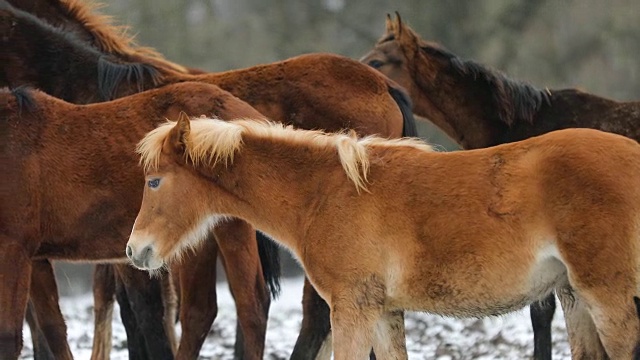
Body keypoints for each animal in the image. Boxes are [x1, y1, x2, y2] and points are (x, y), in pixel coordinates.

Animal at [129, 115, 640, 360]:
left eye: (154, 181)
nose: (135, 251)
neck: (323, 194)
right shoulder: (383, 311)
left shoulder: (351, 308)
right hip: (574, 295)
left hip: (606, 294)